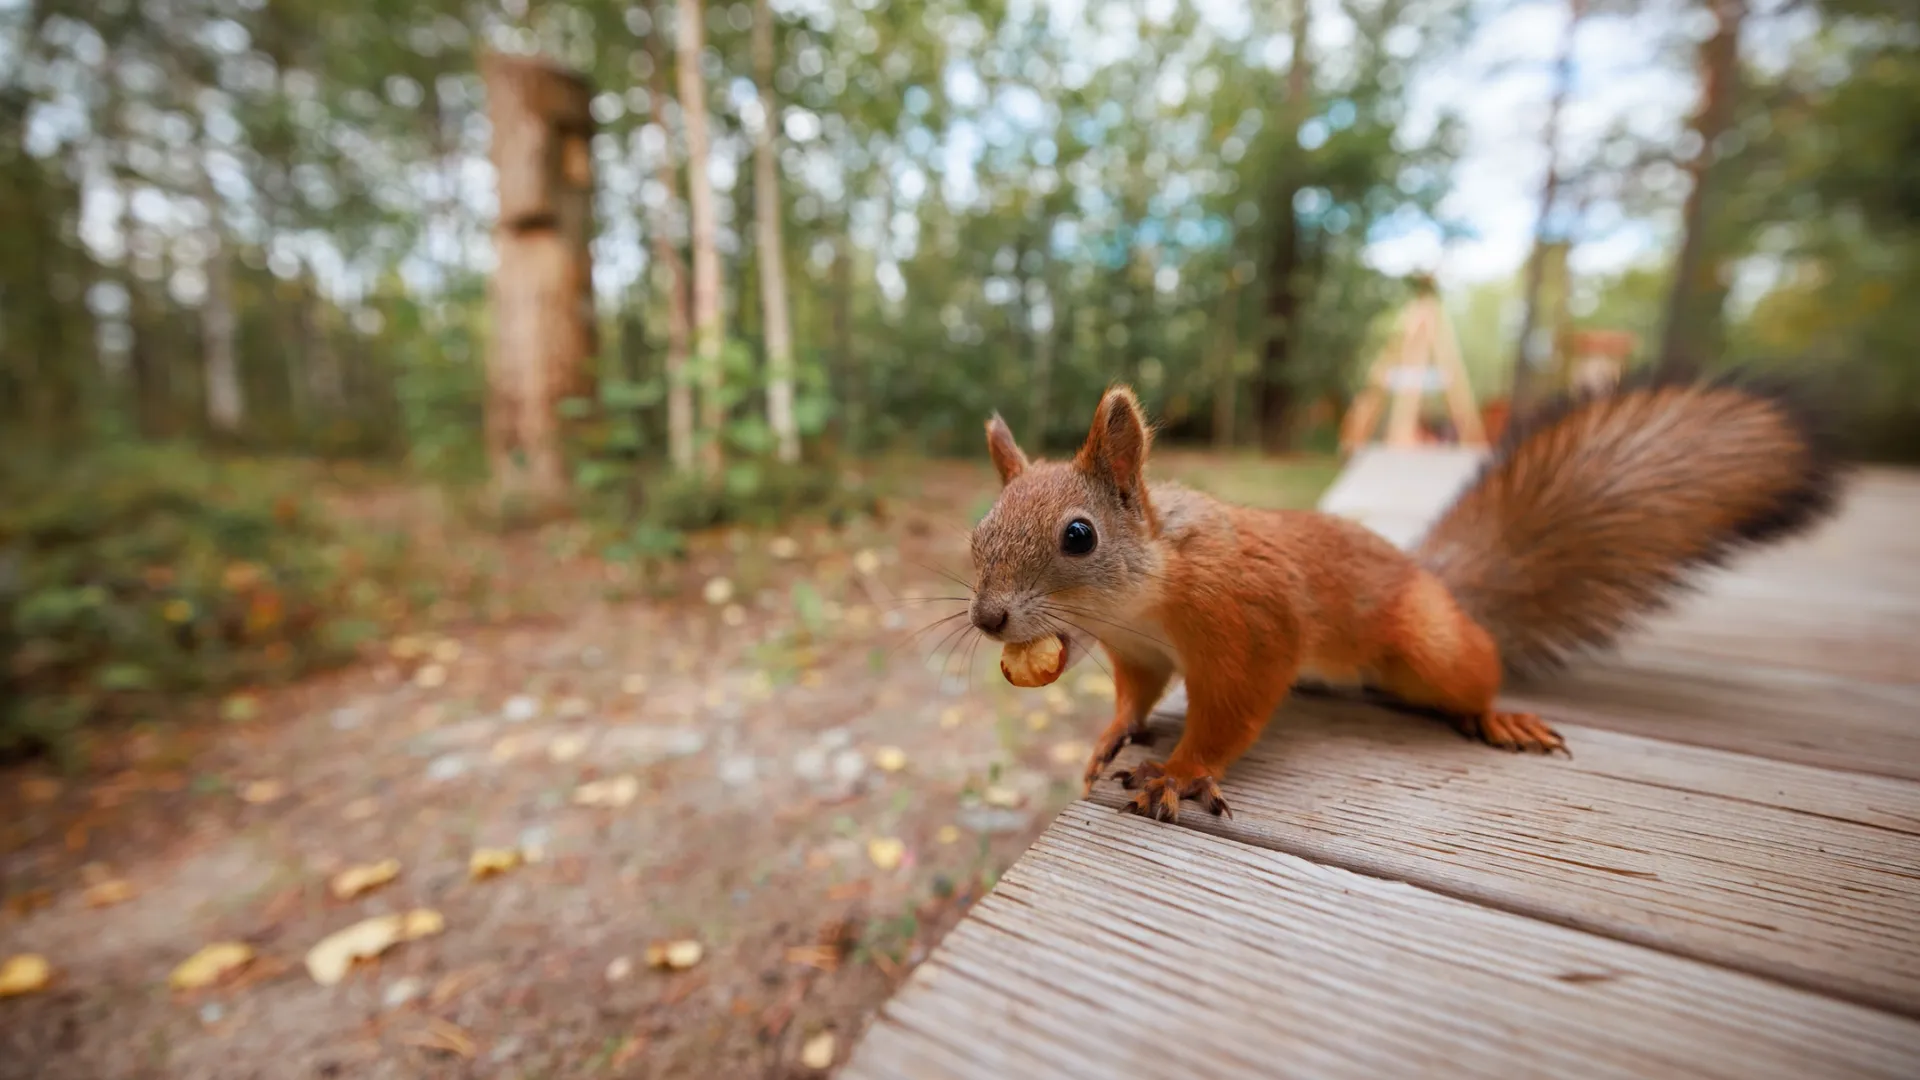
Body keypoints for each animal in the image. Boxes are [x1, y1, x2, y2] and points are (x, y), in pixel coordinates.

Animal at [975, 374, 1843, 818]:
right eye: (980, 527)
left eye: (1079, 535)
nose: (987, 617)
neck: (1145, 598)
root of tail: (1432, 578)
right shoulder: (1141, 653)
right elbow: (1137, 695)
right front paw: (1110, 736)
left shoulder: (1251, 621)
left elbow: (1235, 708)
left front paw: (1180, 770)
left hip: (1432, 643)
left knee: (1471, 674)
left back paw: (1498, 716)